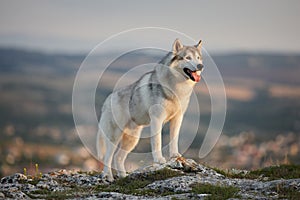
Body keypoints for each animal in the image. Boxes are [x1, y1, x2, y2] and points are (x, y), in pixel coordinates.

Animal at [96, 38, 204, 180]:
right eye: (187, 58)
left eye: (198, 58)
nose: (200, 66)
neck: (177, 88)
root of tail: (108, 99)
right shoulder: (157, 120)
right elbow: (157, 142)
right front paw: (159, 160)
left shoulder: (177, 118)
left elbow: (174, 140)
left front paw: (175, 156)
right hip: (115, 137)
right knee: (108, 158)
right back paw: (108, 176)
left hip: (132, 140)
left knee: (117, 157)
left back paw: (124, 177)